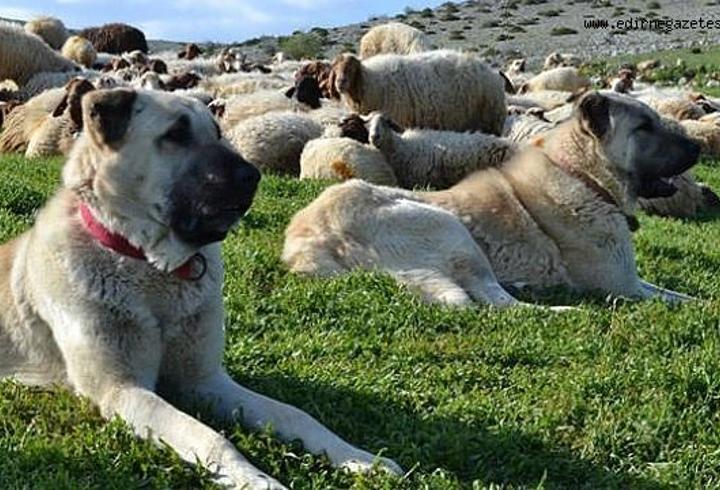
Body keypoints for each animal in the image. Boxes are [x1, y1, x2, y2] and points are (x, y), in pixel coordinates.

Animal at [0, 89, 400, 490]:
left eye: (218, 133)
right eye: (176, 134)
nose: (253, 175)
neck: (152, 268)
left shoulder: (205, 381)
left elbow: (295, 415)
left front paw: (360, 458)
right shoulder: (121, 389)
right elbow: (210, 436)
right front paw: (258, 480)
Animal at [332, 49, 506, 134]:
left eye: (352, 68)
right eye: (335, 68)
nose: (340, 83)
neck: (369, 80)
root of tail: (489, 71)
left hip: (491, 120)